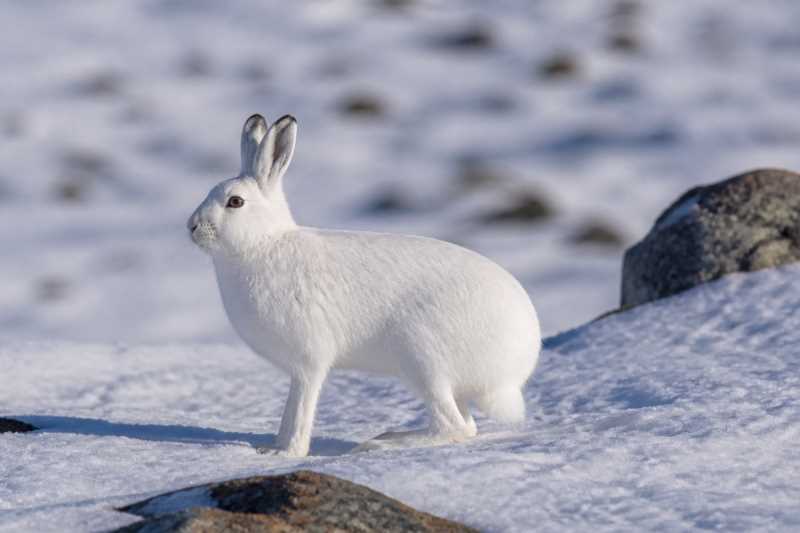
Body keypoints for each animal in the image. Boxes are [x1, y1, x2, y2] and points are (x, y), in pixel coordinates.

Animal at [187, 113, 541, 457]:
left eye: (235, 202)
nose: (192, 226)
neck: (264, 243)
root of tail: (516, 367)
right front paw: (272, 449)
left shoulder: (309, 361)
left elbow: (299, 408)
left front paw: (285, 452)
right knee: (465, 424)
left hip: (422, 358)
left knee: (454, 426)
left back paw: (380, 444)